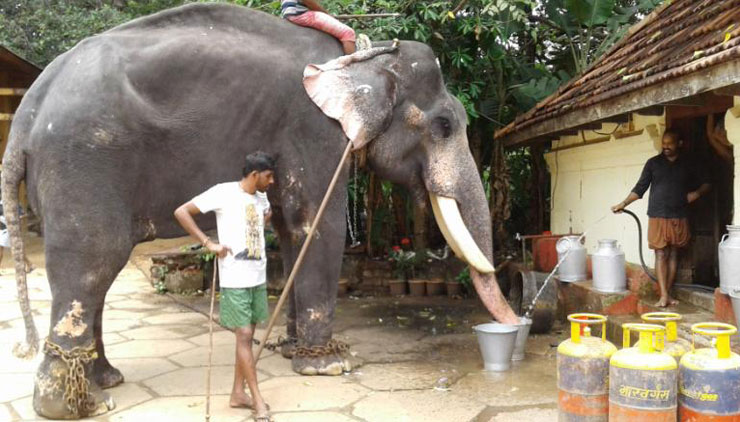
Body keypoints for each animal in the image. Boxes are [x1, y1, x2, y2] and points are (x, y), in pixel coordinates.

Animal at [2, 2, 516, 418]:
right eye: (444, 125)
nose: (515, 325)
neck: (364, 57)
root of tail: (26, 112)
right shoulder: (315, 131)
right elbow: (318, 227)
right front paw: (330, 365)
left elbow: (291, 231)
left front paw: (289, 350)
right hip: (84, 161)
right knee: (92, 261)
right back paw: (76, 406)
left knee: (94, 277)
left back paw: (105, 382)